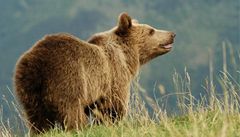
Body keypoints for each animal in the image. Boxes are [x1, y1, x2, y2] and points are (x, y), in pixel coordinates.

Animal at [13, 12, 174, 134]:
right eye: (151, 30)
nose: (172, 34)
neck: (127, 56)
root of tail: (36, 62)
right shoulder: (113, 76)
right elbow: (113, 106)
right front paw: (110, 122)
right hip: (68, 79)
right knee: (71, 110)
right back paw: (79, 128)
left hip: (28, 88)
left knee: (36, 117)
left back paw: (42, 131)